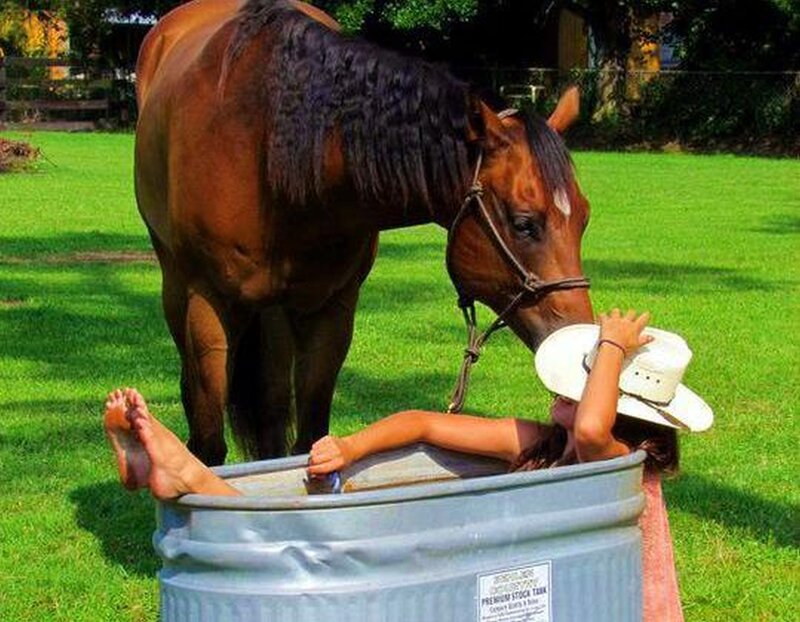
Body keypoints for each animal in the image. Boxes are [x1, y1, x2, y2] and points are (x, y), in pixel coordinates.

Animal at [134, 0, 594, 466]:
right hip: (178, 291)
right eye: (524, 223)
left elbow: (309, 436)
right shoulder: (208, 303)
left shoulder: (333, 309)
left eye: (584, 219)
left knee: (272, 406)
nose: (583, 344)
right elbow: (208, 444)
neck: (268, 147)